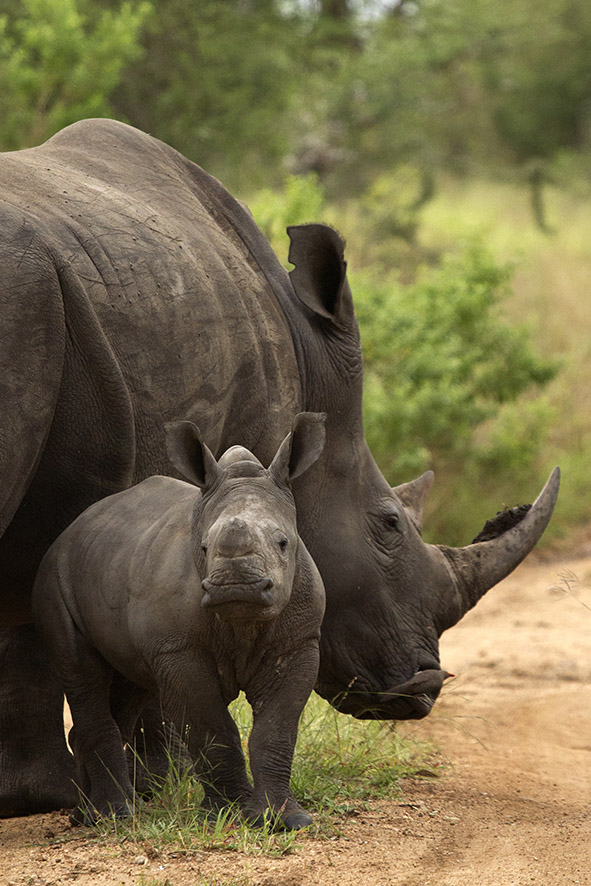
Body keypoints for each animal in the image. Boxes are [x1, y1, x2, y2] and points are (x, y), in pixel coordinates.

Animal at [32, 412, 326, 828]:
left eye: (284, 543)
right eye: (203, 548)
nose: (237, 585)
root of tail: (72, 528)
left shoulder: (300, 641)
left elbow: (277, 730)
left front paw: (284, 820)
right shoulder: (177, 649)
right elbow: (211, 728)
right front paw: (229, 813)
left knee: (129, 686)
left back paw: (85, 814)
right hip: (54, 576)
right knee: (82, 673)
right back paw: (114, 816)